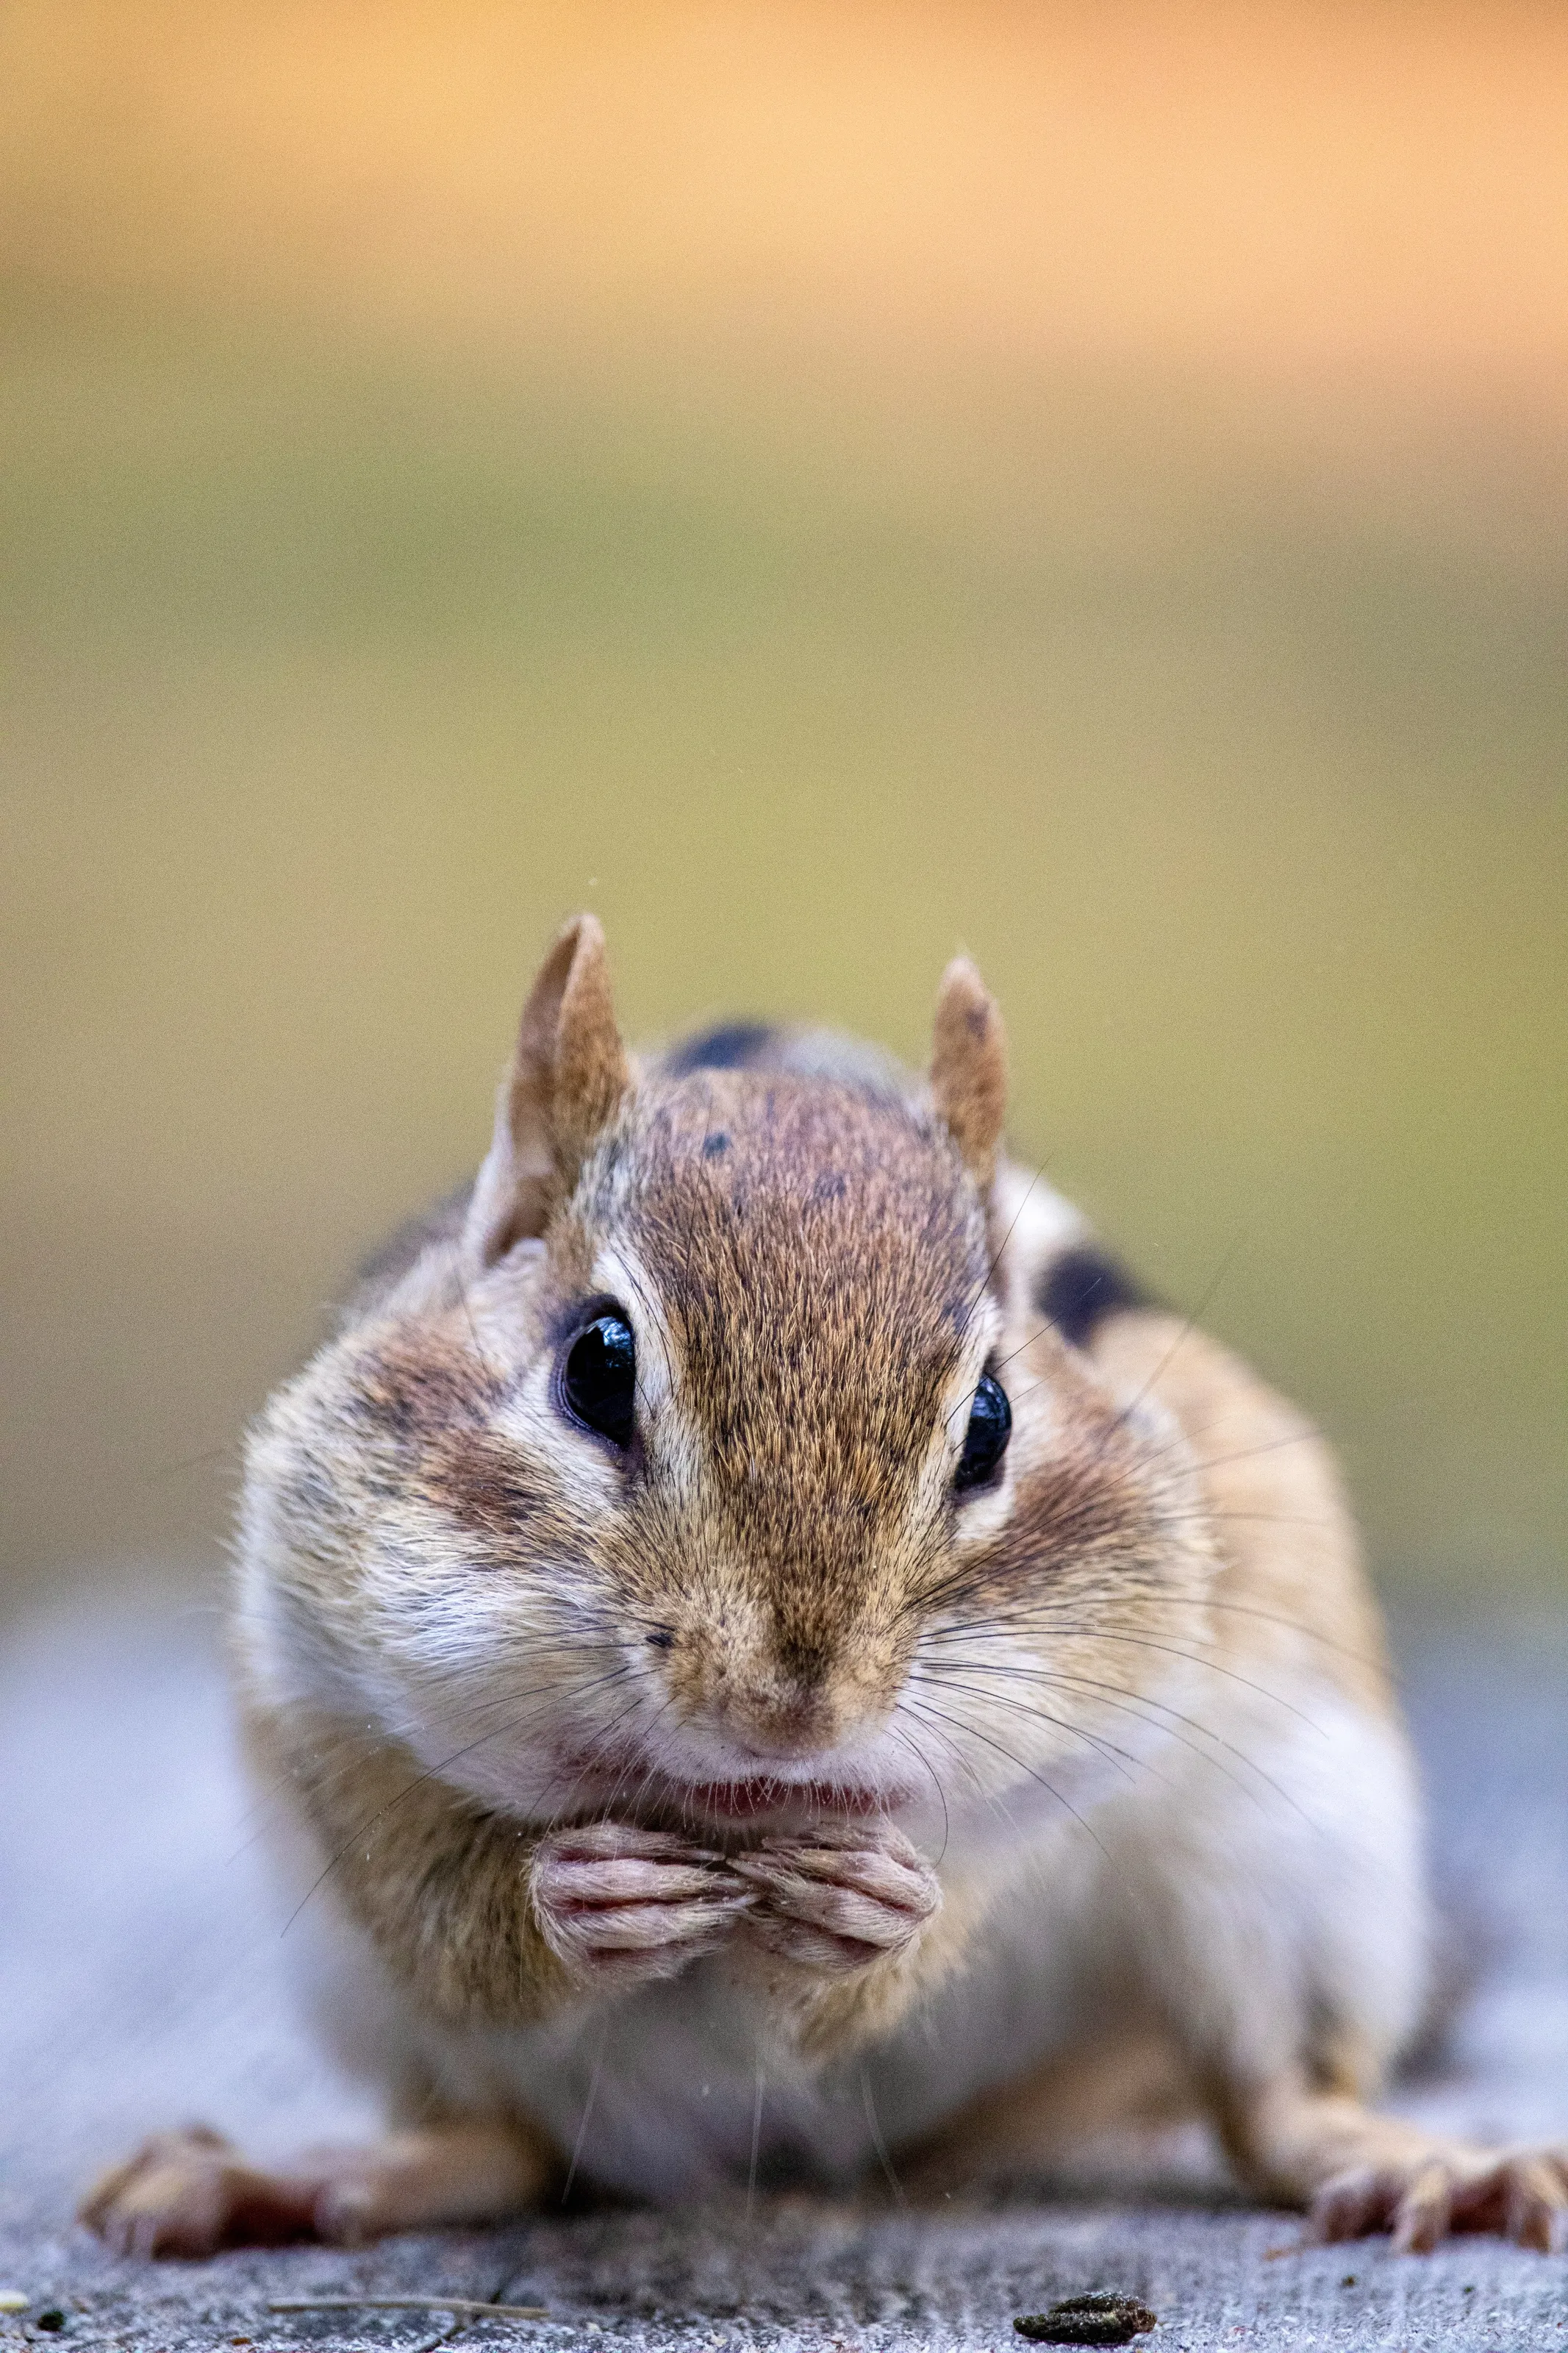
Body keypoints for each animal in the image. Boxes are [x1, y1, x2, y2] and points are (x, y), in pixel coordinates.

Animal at [84, 915, 1567, 2257]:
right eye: (595, 1363)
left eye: (990, 1421)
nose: (788, 1708)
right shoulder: (319, 1699)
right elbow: (440, 1902)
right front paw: (574, 1898)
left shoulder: (1095, 1741)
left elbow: (961, 1887)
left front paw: (882, 1910)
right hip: (367, 1998)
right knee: (498, 2142)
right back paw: (290, 2178)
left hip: (1296, 1866)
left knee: (1266, 2103)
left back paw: (1423, 2164)